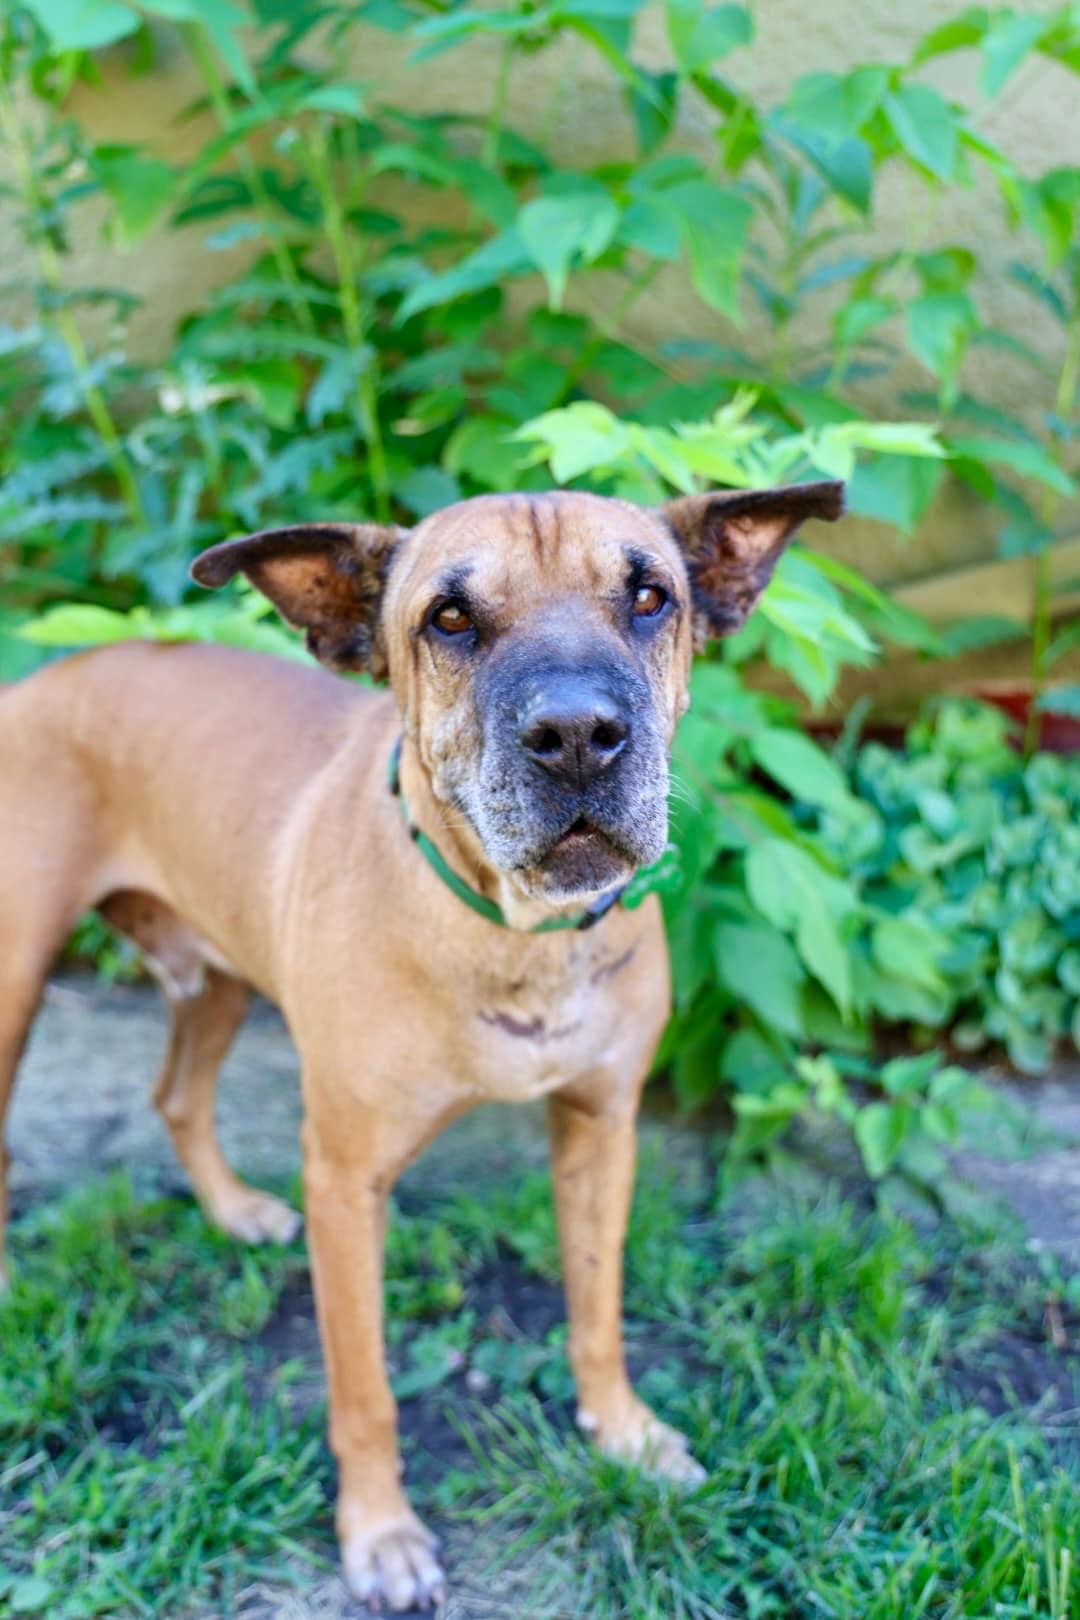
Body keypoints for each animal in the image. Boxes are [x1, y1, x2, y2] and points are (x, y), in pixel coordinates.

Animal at [0, 476, 841, 1607]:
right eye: (449, 618)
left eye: (650, 596)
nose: (579, 734)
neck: (516, 938)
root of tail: (46, 678)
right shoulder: (346, 1181)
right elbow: (365, 1390)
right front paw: (380, 1532)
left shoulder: (602, 1130)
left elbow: (596, 1307)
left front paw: (620, 1431)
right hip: (15, 986)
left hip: (217, 973)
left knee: (176, 1095)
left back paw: (233, 1210)